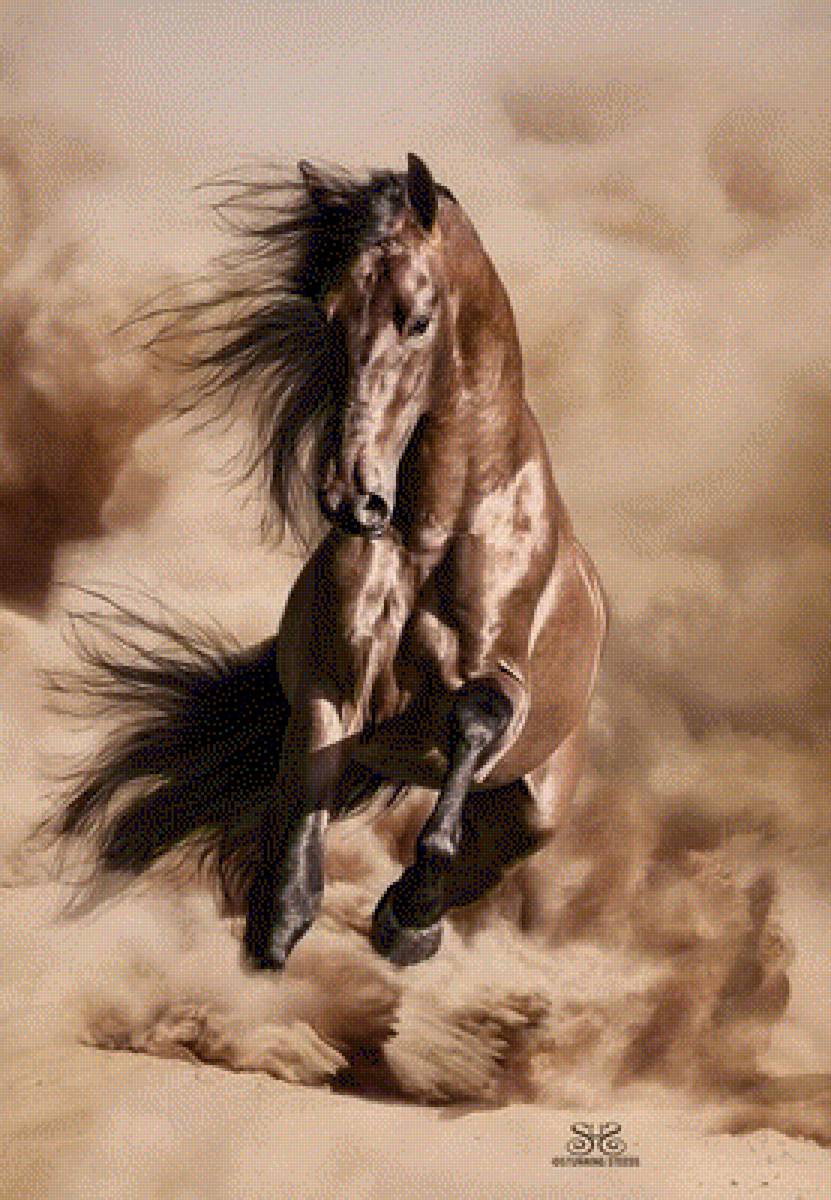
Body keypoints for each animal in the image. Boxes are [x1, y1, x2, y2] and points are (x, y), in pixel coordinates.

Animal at [48, 153, 608, 971]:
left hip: (532, 810)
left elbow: (474, 718)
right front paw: (279, 921)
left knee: (486, 848)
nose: (354, 497)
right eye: (330, 315)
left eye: (417, 319)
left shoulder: (502, 678)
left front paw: (406, 912)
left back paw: (413, 920)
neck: (437, 527)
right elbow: (297, 829)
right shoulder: (332, 683)